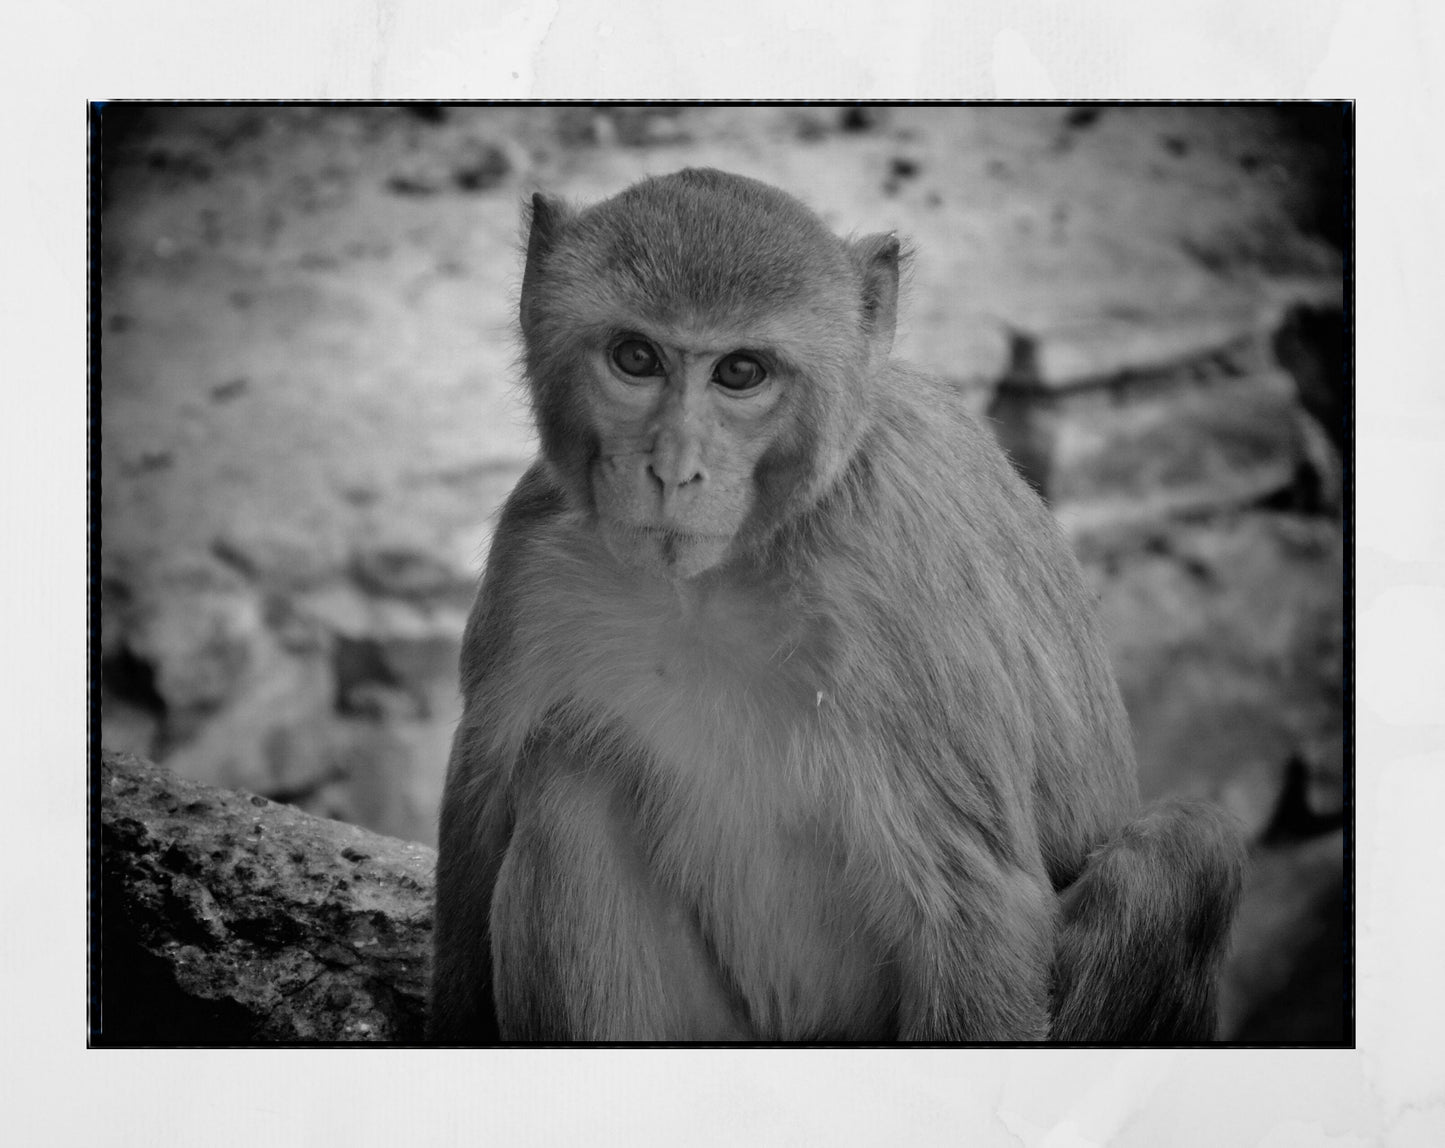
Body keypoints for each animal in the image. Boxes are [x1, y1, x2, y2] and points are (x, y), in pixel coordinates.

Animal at [429, 168, 1244, 1044]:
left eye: (740, 372)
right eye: (635, 357)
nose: (672, 470)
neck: (715, 578)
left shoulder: (894, 584)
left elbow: (974, 908)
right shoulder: (533, 551)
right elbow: (480, 808)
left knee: (1180, 853)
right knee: (564, 788)